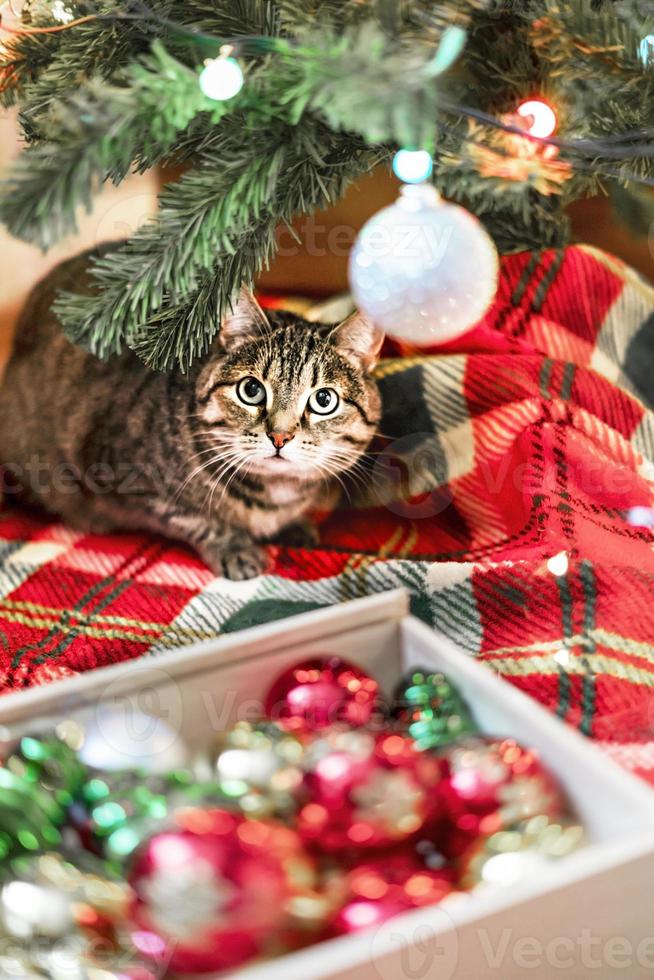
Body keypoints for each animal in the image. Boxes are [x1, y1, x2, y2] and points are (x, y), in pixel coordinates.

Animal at [0, 249, 384, 580]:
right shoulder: (124, 475)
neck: (275, 494)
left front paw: (293, 526)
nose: (280, 436)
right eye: (251, 390)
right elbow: (193, 518)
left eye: (323, 399)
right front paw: (235, 547)